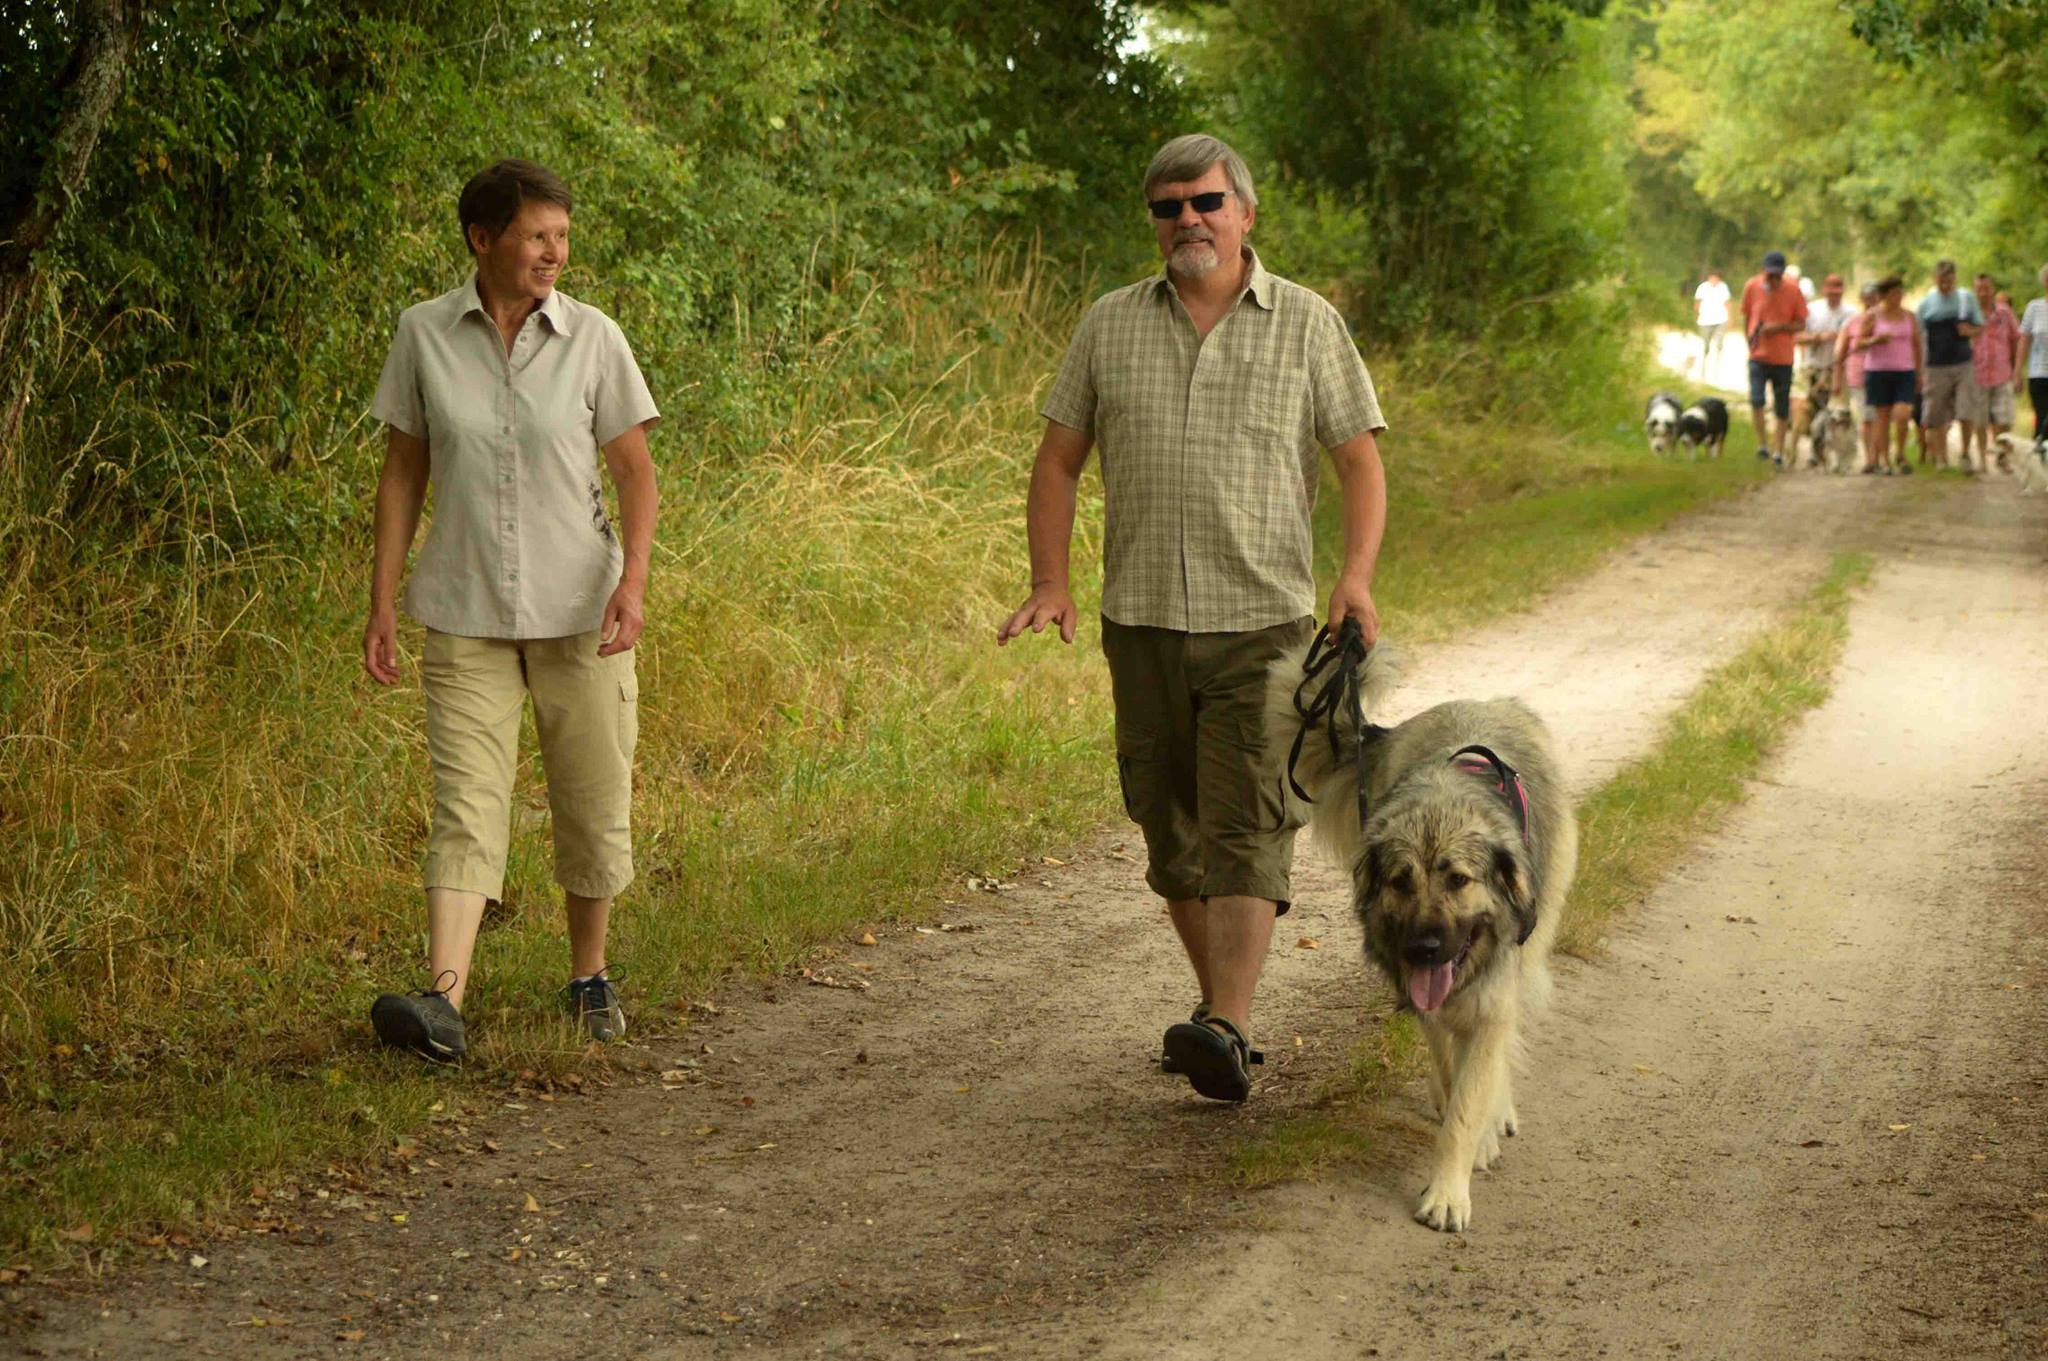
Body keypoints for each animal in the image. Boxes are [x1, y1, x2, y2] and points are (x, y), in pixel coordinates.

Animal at [1286, 646, 1572, 1227]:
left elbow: (1469, 1100)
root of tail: (1486, 701)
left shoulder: (1490, 1000)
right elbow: (1447, 1069)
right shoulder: (1429, 998)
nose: (1424, 949)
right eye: (1401, 881)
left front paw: (1448, 1191)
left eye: (1458, 880)